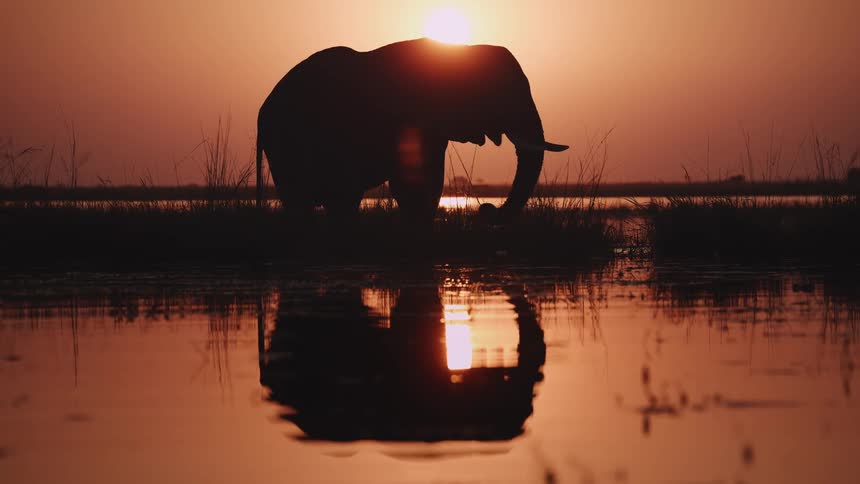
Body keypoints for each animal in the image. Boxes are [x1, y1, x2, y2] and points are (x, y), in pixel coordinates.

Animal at [255, 38, 568, 223]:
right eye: (501, 93)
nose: (486, 209)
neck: (459, 51)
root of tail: (262, 110)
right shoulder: (413, 117)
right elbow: (414, 182)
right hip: (286, 141)